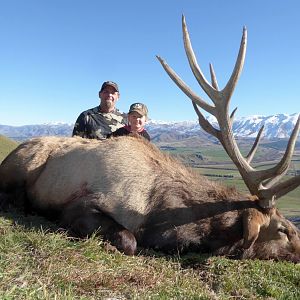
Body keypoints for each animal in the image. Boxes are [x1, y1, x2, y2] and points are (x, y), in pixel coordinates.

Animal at [0, 16, 298, 262]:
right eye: (284, 229)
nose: (299, 251)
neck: (158, 212)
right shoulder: (79, 205)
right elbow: (129, 240)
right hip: (24, 165)